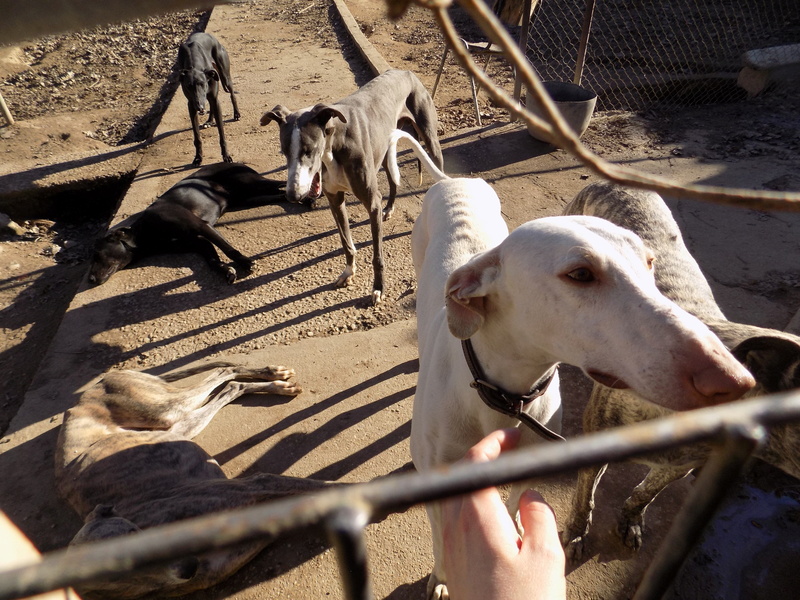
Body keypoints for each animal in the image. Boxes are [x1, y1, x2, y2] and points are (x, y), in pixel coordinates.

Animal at [88, 163, 284, 288]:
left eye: (97, 255)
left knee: (283, 184)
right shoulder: (199, 242)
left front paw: (245, 262)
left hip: (252, 184)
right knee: (281, 194)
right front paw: (226, 270)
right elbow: (213, 260)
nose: (90, 279)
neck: (146, 232)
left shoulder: (201, 226)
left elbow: (228, 249)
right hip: (249, 198)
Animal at [180, 31, 242, 165]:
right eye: (188, 86)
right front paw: (198, 158)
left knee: (232, 94)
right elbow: (197, 137)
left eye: (202, 83)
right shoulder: (191, 105)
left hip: (224, 76)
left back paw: (236, 114)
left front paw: (226, 156)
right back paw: (209, 121)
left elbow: (222, 134)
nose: (199, 107)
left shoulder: (214, 99)